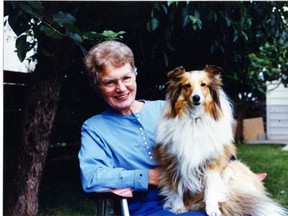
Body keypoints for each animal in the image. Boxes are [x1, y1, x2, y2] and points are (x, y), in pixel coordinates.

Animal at [154, 66, 286, 216]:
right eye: (187, 85)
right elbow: (176, 188)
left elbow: (211, 188)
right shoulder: (172, 163)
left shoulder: (212, 163)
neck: (195, 120)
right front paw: (178, 207)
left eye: (203, 84)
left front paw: (212, 209)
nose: (196, 98)